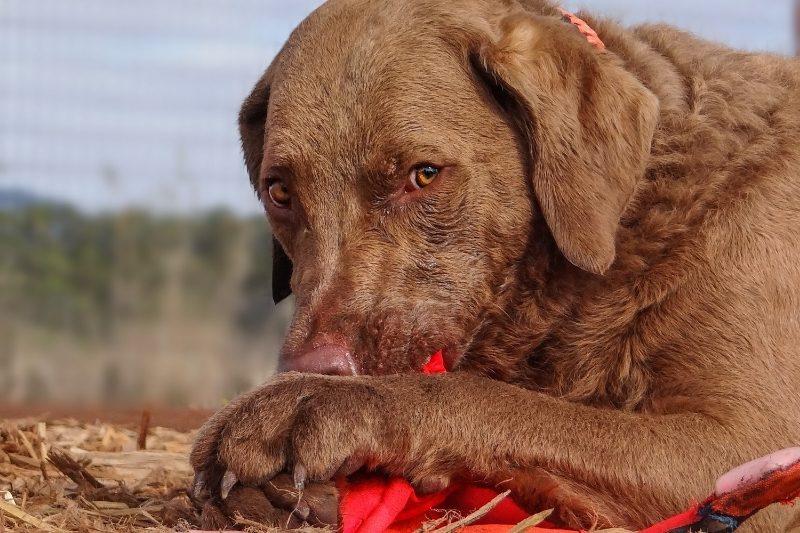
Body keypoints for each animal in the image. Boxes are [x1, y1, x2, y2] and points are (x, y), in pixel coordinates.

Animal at [191, 2, 800, 528]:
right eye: (279, 192)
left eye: (424, 174)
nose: (314, 366)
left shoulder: (745, 447)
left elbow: (482, 396)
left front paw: (315, 404)